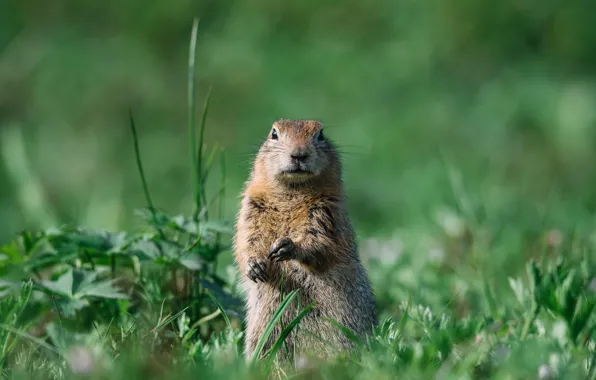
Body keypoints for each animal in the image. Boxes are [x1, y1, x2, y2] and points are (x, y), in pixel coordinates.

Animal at [234, 119, 378, 362]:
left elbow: (322, 242)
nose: (299, 154)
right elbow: (246, 240)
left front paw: (288, 246)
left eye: (321, 134)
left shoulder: (327, 211)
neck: (292, 191)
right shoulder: (251, 206)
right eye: (274, 133)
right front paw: (255, 265)